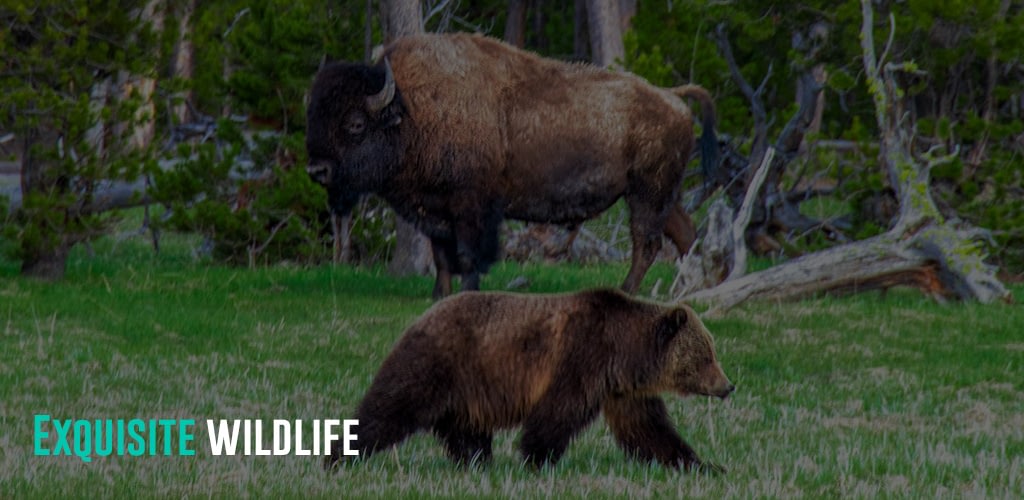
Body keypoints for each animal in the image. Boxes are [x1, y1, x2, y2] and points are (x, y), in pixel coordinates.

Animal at [307, 34, 716, 297]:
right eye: (313, 115)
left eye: (355, 124)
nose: (316, 171)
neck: (413, 110)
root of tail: (672, 97)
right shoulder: (434, 208)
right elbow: (441, 256)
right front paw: (438, 295)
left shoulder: (471, 206)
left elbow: (469, 254)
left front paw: (466, 293)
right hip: (663, 194)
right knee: (684, 233)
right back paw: (692, 289)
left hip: (646, 192)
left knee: (646, 241)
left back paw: (628, 291)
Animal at [323, 288, 733, 473]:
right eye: (706, 356)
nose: (728, 386)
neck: (625, 351)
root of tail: (423, 314)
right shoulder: (582, 356)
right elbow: (557, 412)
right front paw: (537, 459)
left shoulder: (624, 389)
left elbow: (649, 430)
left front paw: (702, 464)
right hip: (441, 361)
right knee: (390, 407)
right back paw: (338, 455)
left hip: (468, 388)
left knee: (464, 428)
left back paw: (476, 461)